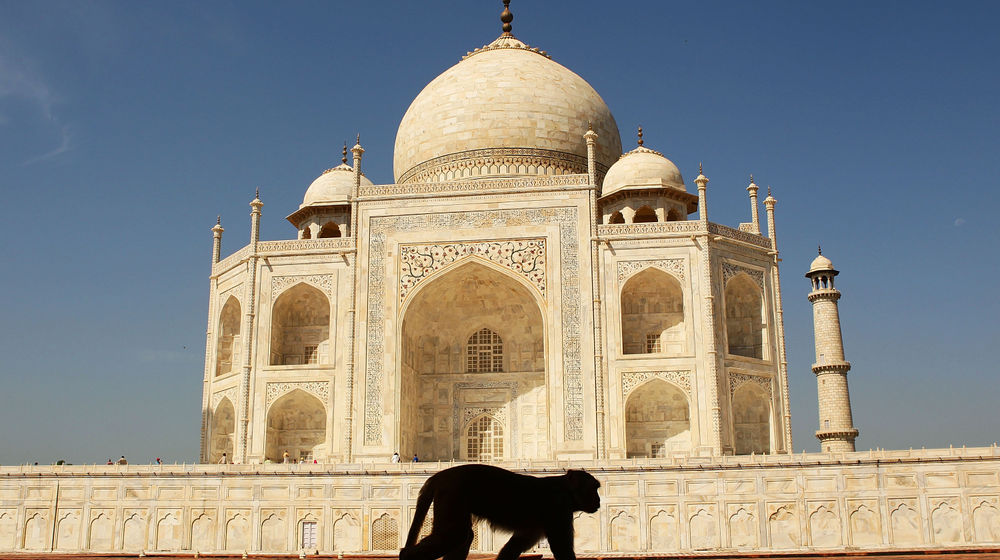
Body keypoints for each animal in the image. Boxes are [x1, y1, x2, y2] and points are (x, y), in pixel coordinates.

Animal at [399, 464, 600, 560]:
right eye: (594, 489)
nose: (598, 500)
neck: (564, 487)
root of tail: (438, 476)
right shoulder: (558, 508)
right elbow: (562, 549)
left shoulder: (532, 531)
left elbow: (511, 549)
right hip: (452, 495)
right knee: (456, 534)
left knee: (464, 535)